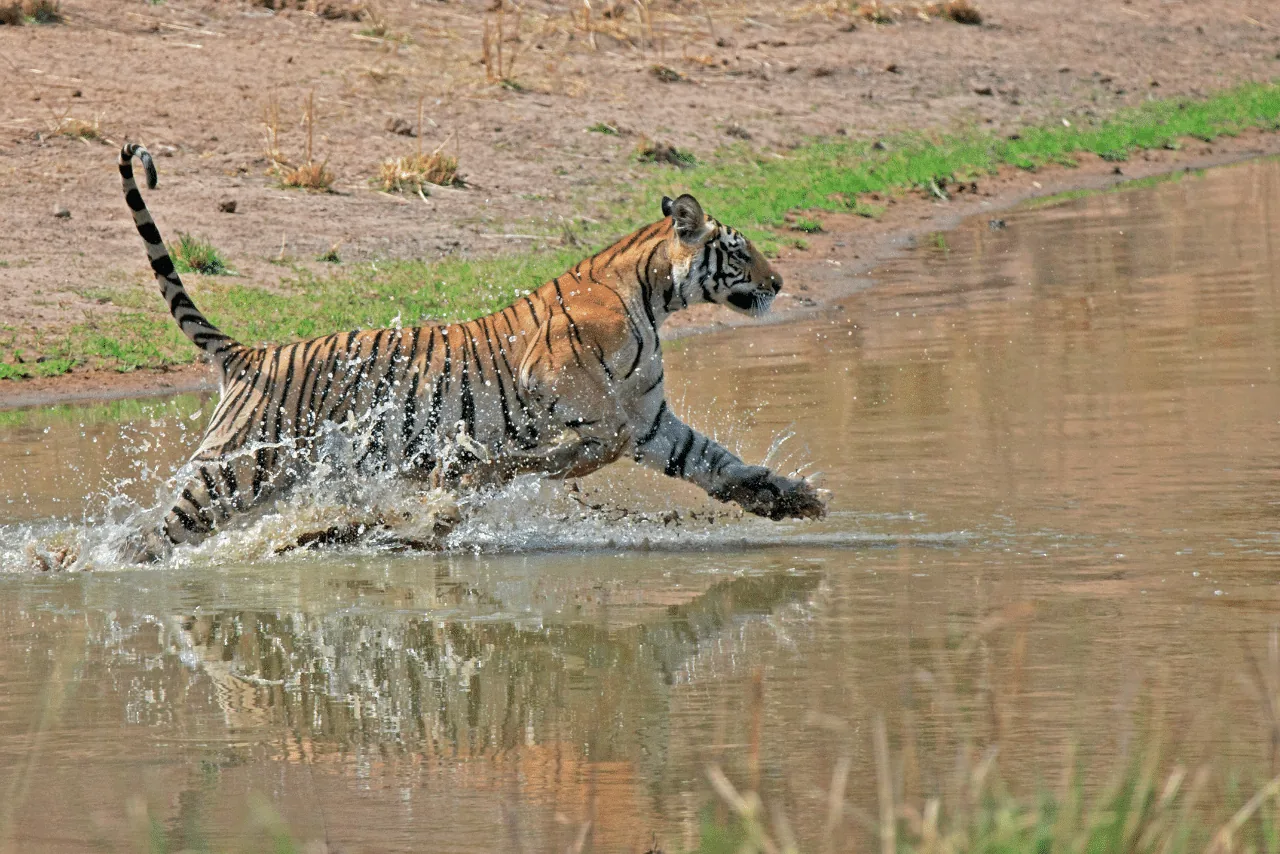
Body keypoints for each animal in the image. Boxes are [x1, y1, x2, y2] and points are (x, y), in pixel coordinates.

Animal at [118, 142, 827, 551]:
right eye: (740, 251)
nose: (779, 283)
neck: (655, 299)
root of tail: (249, 355)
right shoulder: (584, 402)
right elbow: (572, 453)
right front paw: (465, 477)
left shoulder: (651, 419)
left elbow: (715, 460)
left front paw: (788, 498)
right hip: (233, 470)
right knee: (156, 532)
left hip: (276, 474)